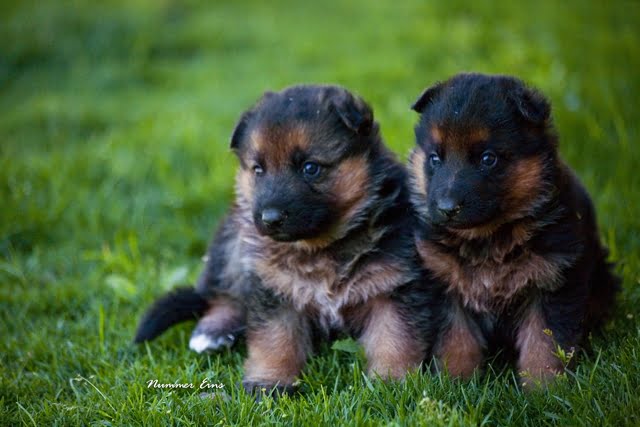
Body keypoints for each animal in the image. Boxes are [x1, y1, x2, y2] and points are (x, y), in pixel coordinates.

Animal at [136, 85, 442, 396]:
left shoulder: (393, 287)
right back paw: (213, 331)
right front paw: (268, 383)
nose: (270, 218)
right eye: (258, 169)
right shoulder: (275, 289)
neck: (320, 246)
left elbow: (395, 337)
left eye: (310, 168)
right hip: (235, 239)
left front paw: (392, 383)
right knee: (220, 292)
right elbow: (275, 340)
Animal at [408, 73, 616, 388]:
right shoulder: (444, 284)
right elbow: (455, 340)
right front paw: (454, 384)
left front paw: (545, 389)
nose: (446, 208)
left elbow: (544, 343)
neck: (488, 237)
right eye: (434, 159)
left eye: (488, 159)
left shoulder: (553, 281)